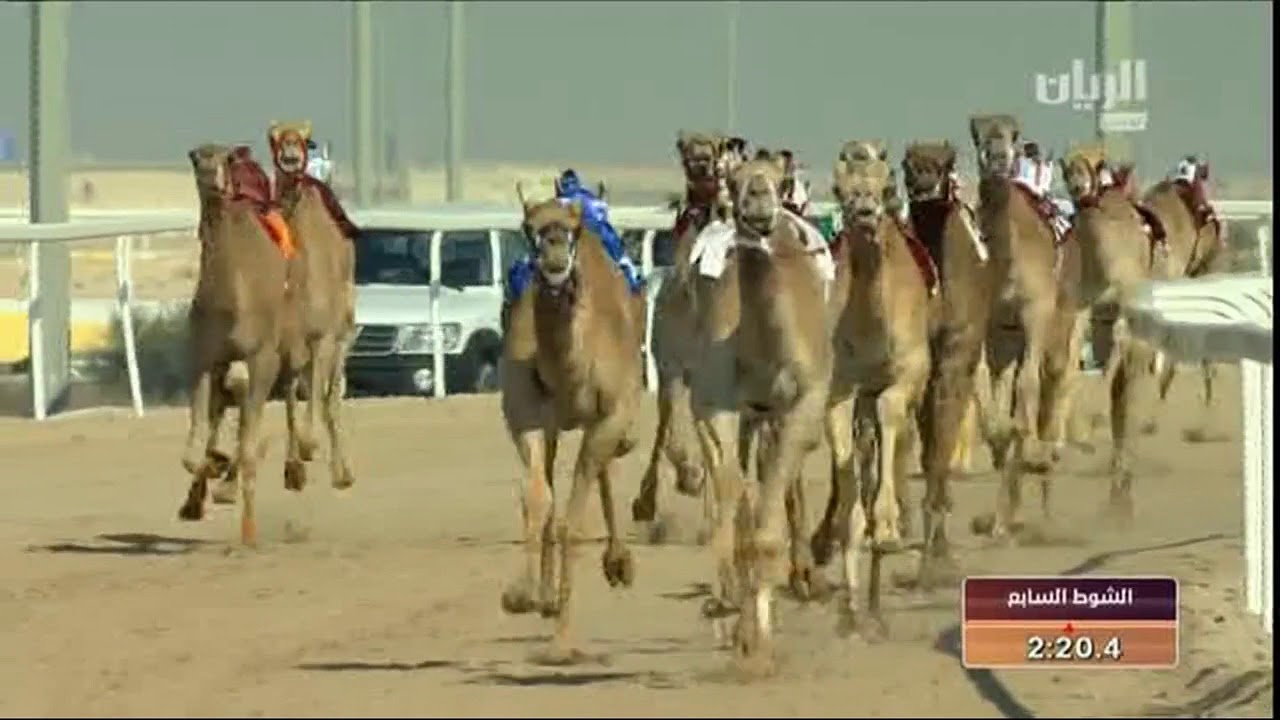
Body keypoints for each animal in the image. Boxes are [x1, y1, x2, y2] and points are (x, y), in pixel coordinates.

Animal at [178, 144, 303, 547]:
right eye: (194, 157)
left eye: (227, 158)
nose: (210, 173)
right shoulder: (203, 358)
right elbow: (197, 445)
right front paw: (211, 473)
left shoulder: (261, 356)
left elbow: (249, 446)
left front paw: (248, 531)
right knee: (226, 404)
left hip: (290, 347)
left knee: (291, 392)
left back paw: (296, 468)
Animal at [498, 187, 645, 661]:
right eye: (528, 227)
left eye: (574, 228)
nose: (555, 257)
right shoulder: (525, 414)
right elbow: (538, 499)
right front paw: (523, 595)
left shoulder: (609, 415)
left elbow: (573, 523)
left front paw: (561, 640)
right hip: (557, 426)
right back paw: (548, 596)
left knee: (602, 469)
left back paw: (618, 563)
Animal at [686, 149, 834, 664]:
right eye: (732, 178)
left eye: (777, 179)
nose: (757, 198)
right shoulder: (716, 406)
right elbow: (735, 499)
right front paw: (732, 613)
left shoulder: (803, 406)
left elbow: (768, 528)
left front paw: (758, 641)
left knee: (784, 484)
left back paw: (804, 576)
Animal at [969, 114, 1085, 538]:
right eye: (977, 134)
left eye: (1012, 134)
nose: (999, 157)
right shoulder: (996, 329)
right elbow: (992, 398)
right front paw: (1000, 444)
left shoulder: (1036, 314)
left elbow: (1026, 389)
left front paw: (1033, 456)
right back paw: (1008, 515)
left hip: (1067, 327)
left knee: (1055, 384)